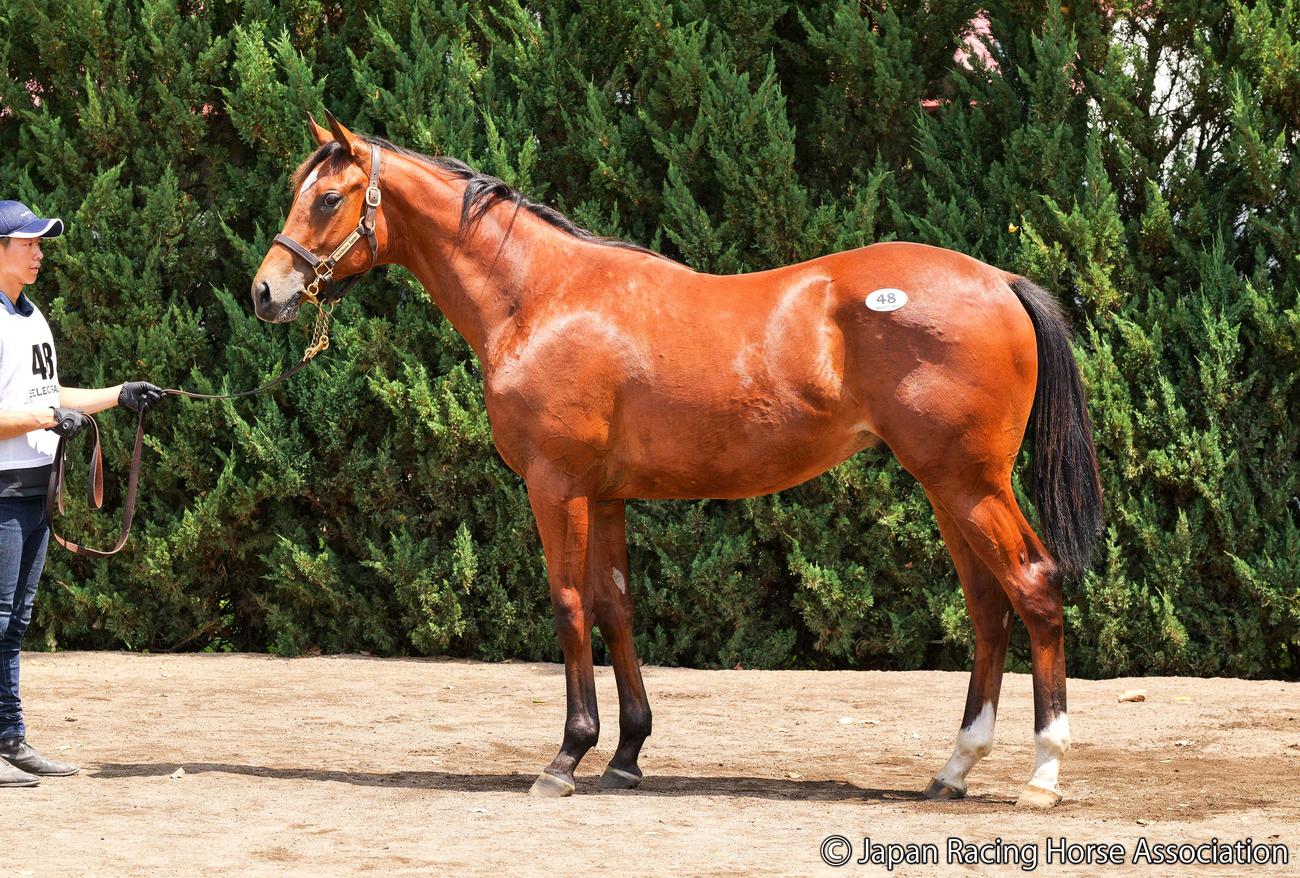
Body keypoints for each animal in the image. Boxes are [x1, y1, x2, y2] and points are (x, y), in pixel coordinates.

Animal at [251, 112, 1102, 809]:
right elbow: (618, 607)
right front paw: (626, 754)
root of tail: (1000, 281)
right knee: (988, 607)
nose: (265, 290)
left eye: (329, 198)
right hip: (948, 488)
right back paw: (954, 768)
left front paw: (566, 757)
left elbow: (569, 605)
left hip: (968, 484)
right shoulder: (607, 495)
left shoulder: (556, 488)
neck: (540, 298)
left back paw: (1043, 774)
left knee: (1033, 586)